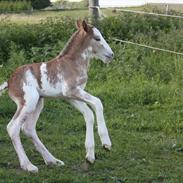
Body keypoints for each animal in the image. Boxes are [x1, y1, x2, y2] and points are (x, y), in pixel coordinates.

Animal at [0, 20, 113, 173]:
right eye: (97, 38)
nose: (111, 55)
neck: (73, 63)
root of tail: (9, 82)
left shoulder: (70, 97)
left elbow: (89, 114)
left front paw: (89, 157)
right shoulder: (71, 91)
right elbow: (98, 102)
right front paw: (106, 143)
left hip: (38, 102)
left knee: (28, 128)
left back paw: (52, 160)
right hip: (28, 102)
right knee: (13, 127)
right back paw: (28, 166)